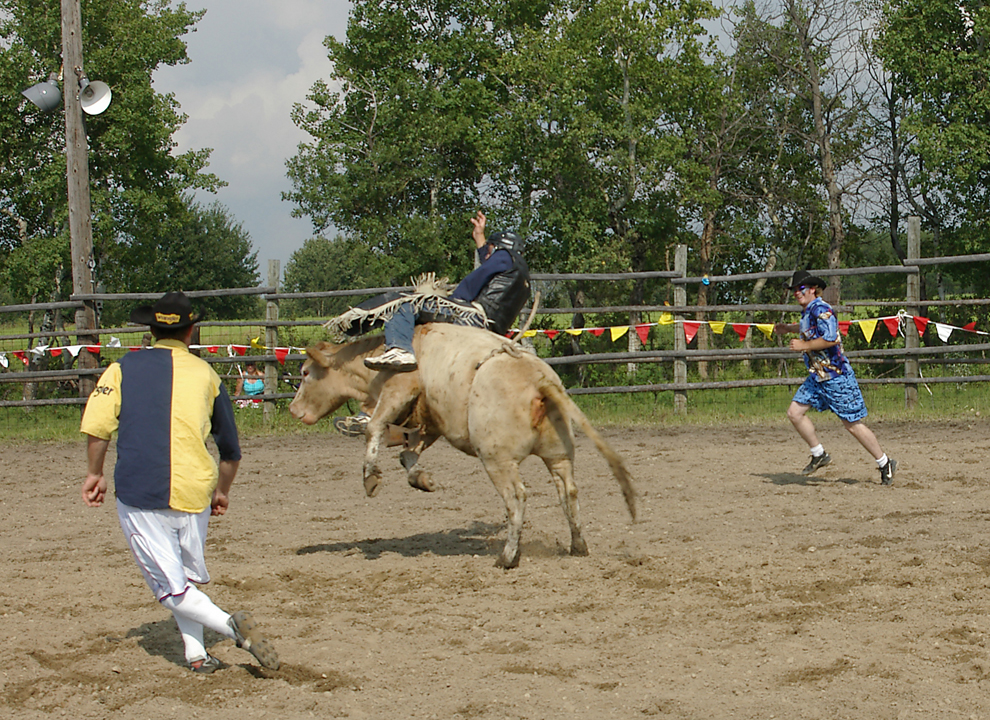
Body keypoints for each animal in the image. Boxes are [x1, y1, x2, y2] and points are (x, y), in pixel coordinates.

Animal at [290, 322, 640, 568]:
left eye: (305, 373)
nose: (294, 410)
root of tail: (540, 382)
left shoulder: (399, 389)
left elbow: (375, 428)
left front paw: (370, 478)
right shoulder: (431, 420)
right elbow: (408, 452)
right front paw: (422, 480)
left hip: (497, 459)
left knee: (517, 497)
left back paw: (508, 557)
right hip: (558, 452)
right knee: (568, 491)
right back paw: (577, 546)